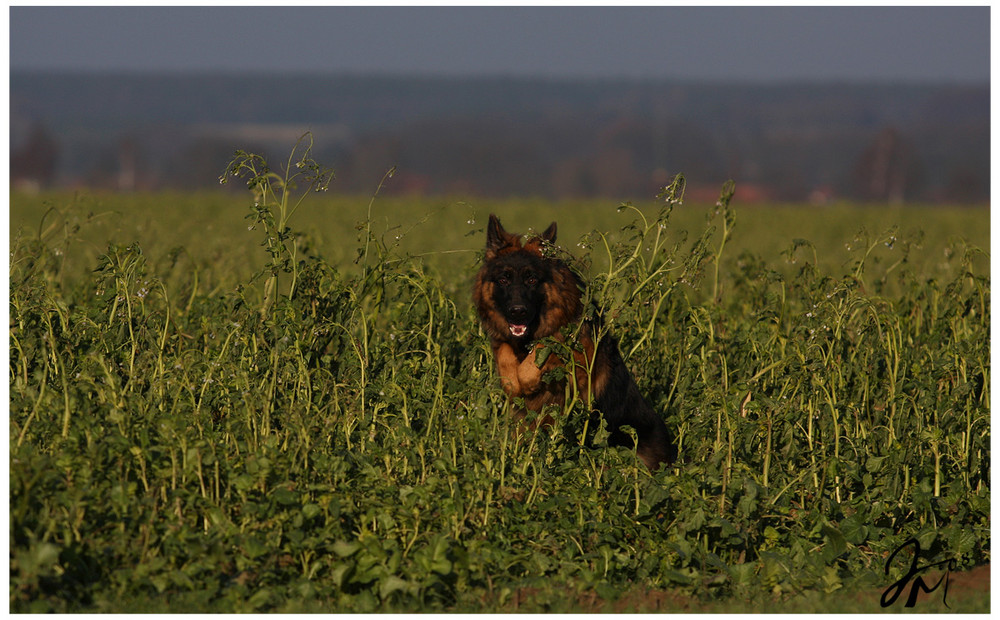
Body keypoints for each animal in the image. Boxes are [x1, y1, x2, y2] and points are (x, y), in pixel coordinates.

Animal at [472, 214, 676, 470]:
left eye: (532, 279)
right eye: (503, 279)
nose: (517, 312)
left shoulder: (583, 359)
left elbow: (548, 344)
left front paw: (527, 380)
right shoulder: (505, 341)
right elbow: (505, 351)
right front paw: (511, 381)